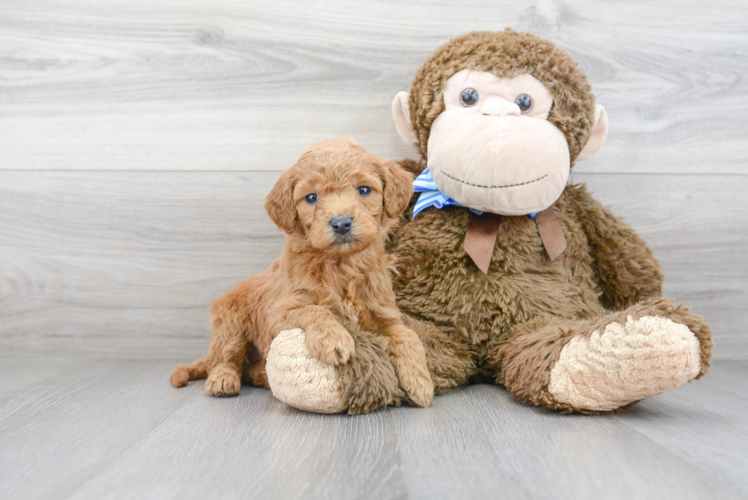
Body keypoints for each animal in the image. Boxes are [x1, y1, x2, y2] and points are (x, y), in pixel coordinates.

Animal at [170, 136, 436, 406]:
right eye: (311, 197)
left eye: (363, 189)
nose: (341, 223)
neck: (342, 265)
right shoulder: (278, 312)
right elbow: (316, 309)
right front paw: (333, 339)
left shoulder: (385, 314)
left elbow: (409, 336)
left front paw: (421, 382)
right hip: (230, 323)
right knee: (226, 357)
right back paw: (222, 378)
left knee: (248, 368)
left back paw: (260, 376)